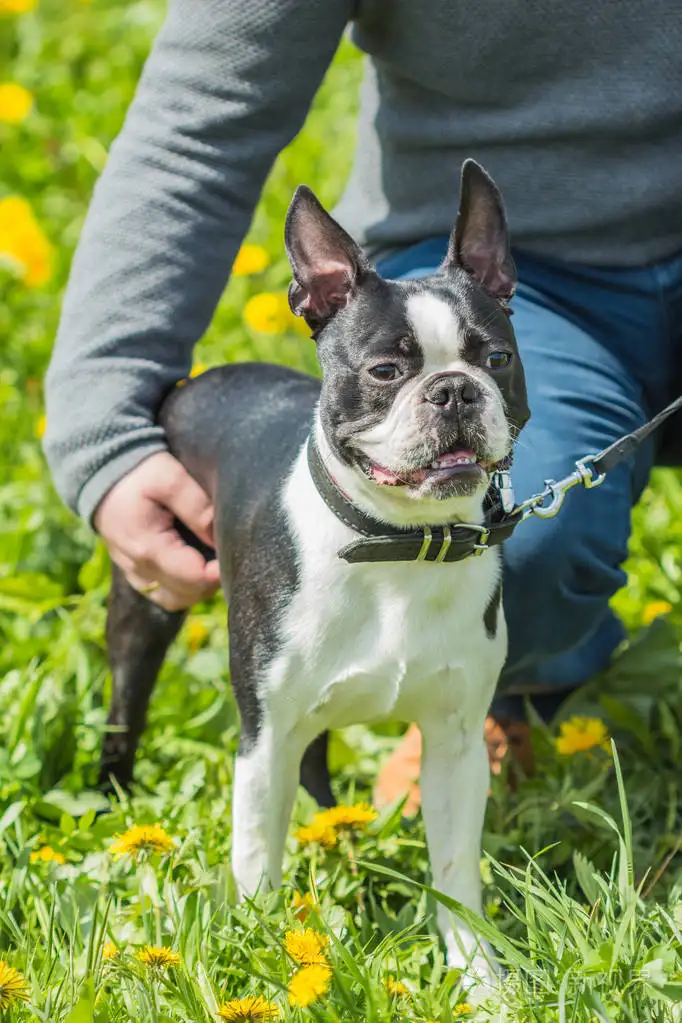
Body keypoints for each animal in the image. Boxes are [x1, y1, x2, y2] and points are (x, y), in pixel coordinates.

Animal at [100, 159, 527, 982]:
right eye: (386, 370)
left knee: (320, 762)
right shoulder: (263, 738)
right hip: (147, 598)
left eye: (497, 359)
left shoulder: (457, 743)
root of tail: (200, 377)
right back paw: (110, 795)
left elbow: (455, 873)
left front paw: (481, 979)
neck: (397, 544)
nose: (455, 390)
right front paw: (271, 956)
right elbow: (257, 861)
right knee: (125, 703)